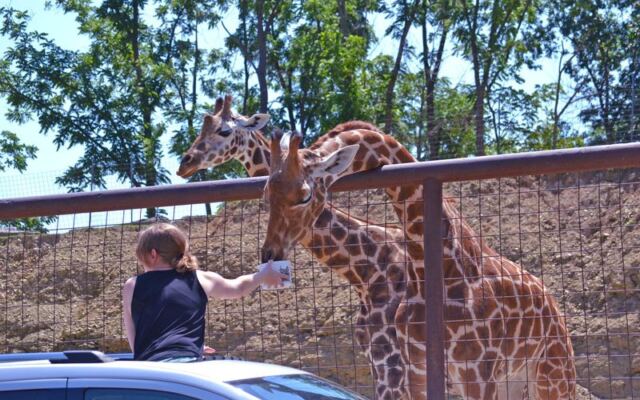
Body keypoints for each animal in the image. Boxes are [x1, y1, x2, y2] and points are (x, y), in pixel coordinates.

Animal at [261, 130, 576, 399]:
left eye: (305, 196)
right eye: (265, 194)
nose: (269, 253)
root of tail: (554, 305)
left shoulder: (472, 370)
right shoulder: (412, 367)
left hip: (553, 372)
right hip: (514, 378)